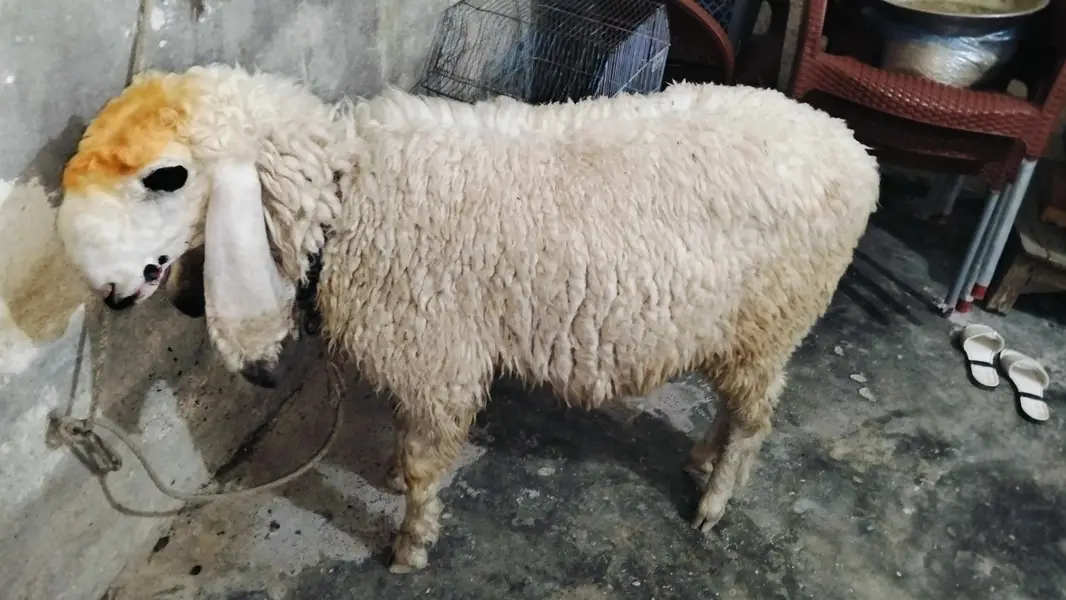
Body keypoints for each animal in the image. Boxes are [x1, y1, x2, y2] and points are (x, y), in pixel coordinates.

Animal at [56, 63, 880, 573]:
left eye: (167, 177)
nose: (110, 290)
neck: (347, 196)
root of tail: (852, 149)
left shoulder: (436, 358)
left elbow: (427, 465)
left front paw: (410, 544)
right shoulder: (421, 358)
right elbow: (404, 440)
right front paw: (393, 477)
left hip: (776, 318)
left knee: (755, 419)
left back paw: (713, 500)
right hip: (737, 329)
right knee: (734, 408)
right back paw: (702, 459)